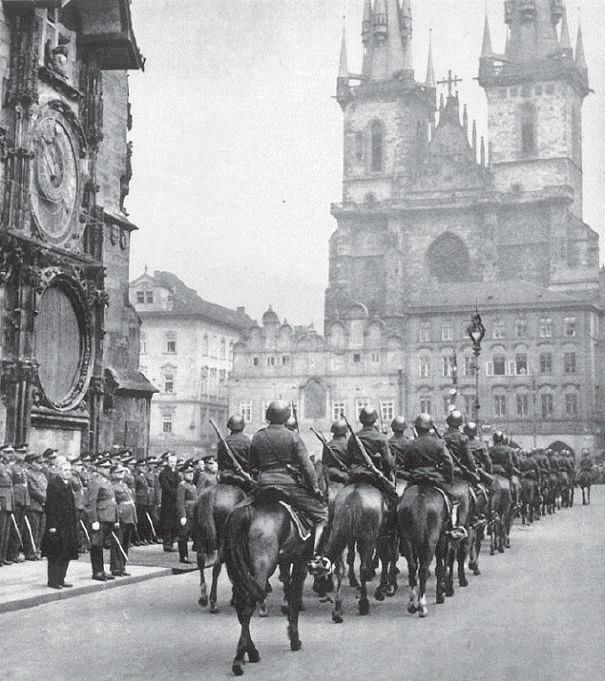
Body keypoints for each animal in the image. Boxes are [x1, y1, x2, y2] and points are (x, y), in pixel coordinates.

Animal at [190, 480, 244, 612]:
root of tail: (210, 495)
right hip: (223, 541)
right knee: (216, 566)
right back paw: (213, 602)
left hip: (200, 535)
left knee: (201, 560)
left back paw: (204, 597)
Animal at [222, 488, 310, 676]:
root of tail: (248, 508)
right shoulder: (300, 561)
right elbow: (294, 594)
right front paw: (294, 638)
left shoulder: (286, 561)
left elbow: (287, 588)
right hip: (263, 566)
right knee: (248, 605)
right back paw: (240, 659)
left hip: (239, 570)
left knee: (241, 605)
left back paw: (250, 652)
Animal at [318, 480, 394, 620]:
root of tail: (354, 496)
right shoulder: (382, 535)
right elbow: (385, 558)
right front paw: (381, 589)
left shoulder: (351, 537)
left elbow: (351, 557)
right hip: (368, 538)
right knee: (363, 567)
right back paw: (364, 603)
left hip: (339, 532)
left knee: (338, 567)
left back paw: (337, 607)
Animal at [398, 484, 446, 616]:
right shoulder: (441, 540)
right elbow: (439, 568)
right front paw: (440, 596)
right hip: (430, 542)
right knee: (423, 570)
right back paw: (422, 607)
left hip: (407, 541)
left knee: (412, 568)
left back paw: (412, 605)